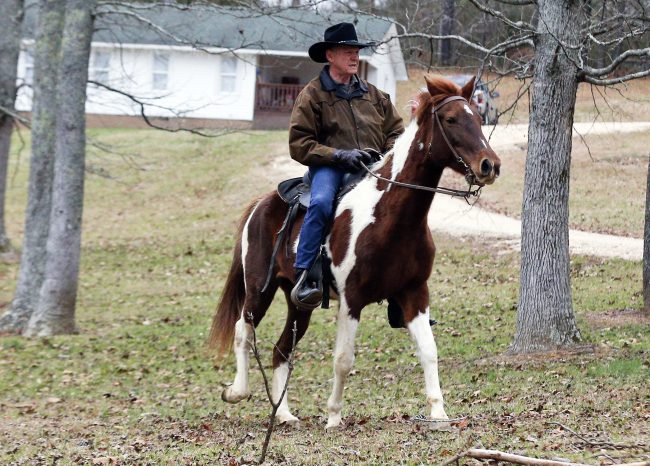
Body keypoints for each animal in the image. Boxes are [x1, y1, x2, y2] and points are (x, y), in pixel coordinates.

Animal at [209, 74, 501, 428]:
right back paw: (237, 391)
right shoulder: (352, 299)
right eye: (450, 119)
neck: (390, 217)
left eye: (478, 117)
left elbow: (429, 351)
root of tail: (261, 204)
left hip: (299, 304)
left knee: (281, 350)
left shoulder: (415, 293)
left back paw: (284, 414)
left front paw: (438, 412)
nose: (490, 165)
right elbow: (343, 359)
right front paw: (334, 417)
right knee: (244, 331)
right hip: (258, 290)